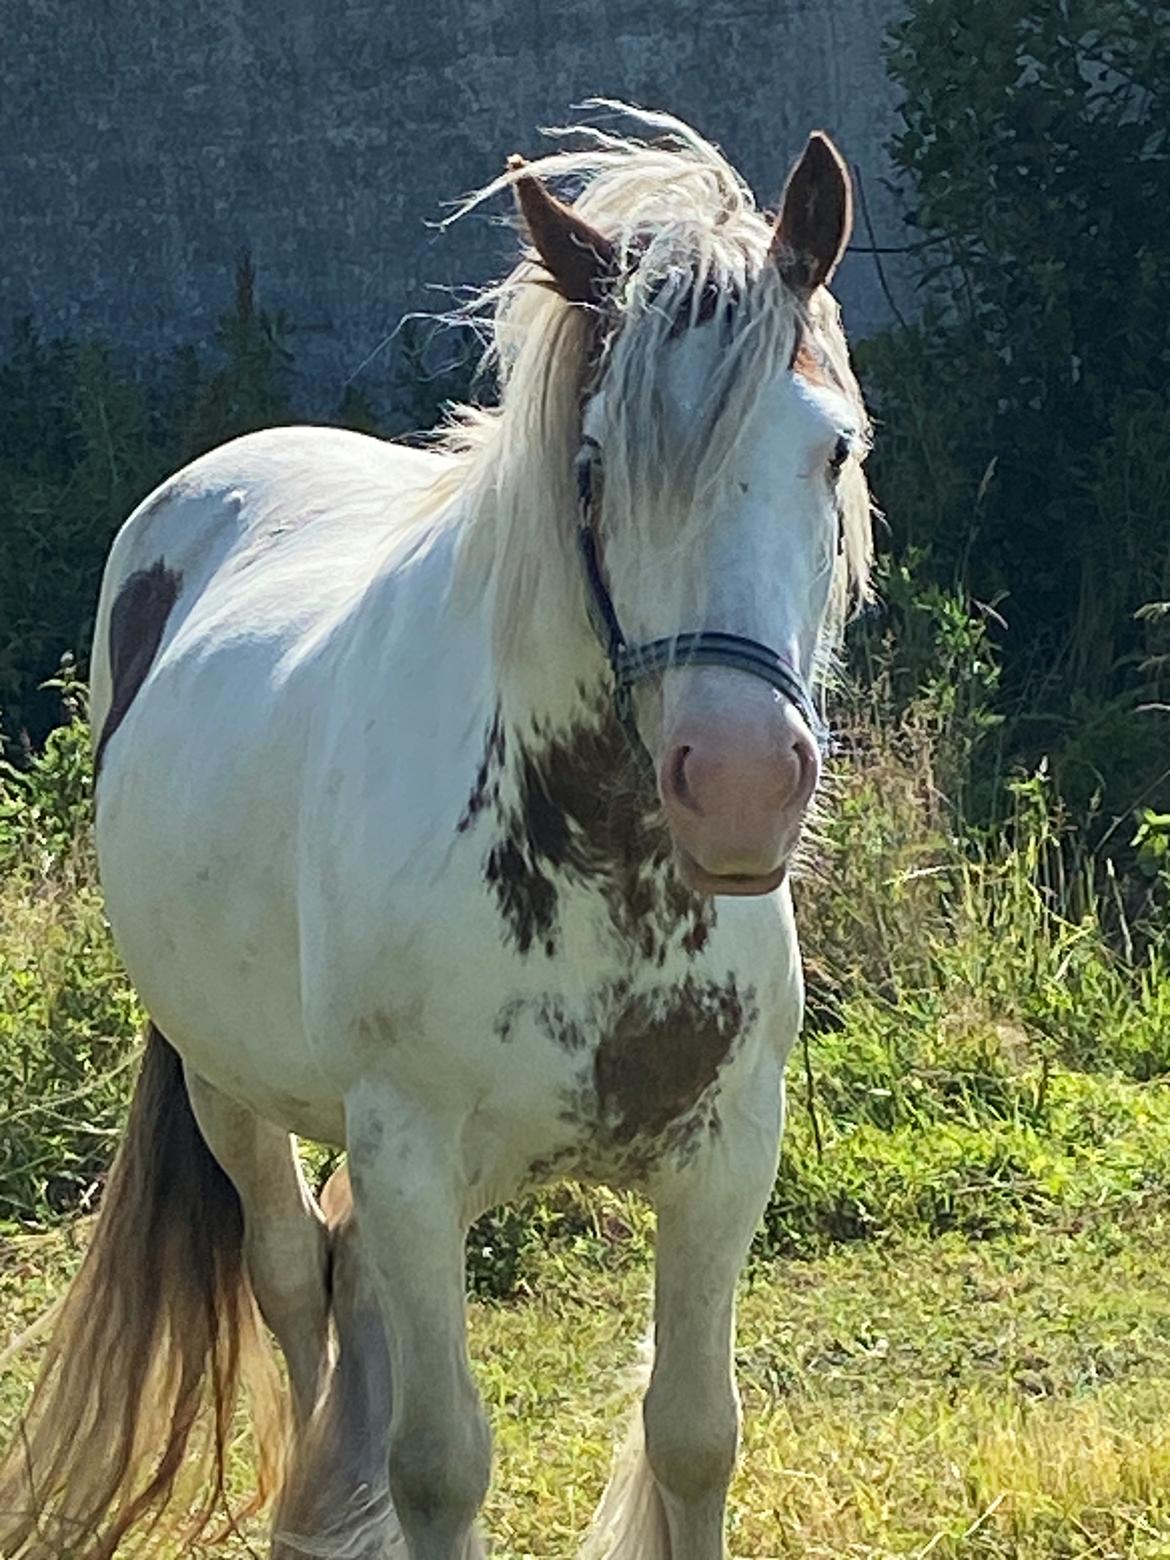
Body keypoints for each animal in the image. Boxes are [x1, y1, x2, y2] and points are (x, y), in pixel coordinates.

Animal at [0, 106, 873, 1560]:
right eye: (594, 471)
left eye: (836, 450)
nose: (743, 784)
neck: (598, 869)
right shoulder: (406, 1147)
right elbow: (439, 1462)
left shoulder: (724, 1150)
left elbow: (694, 1437)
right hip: (238, 1090)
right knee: (299, 1282)